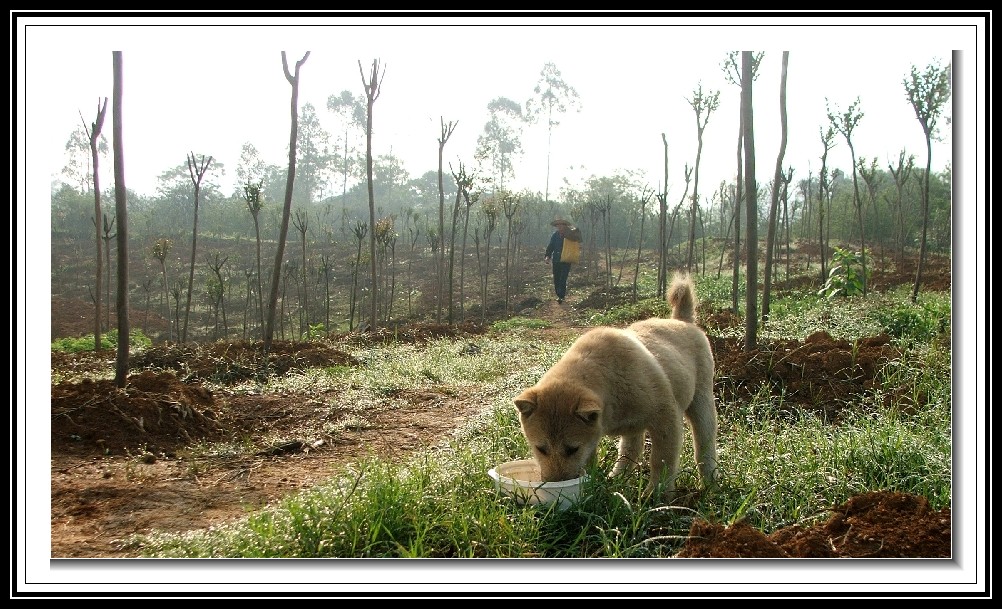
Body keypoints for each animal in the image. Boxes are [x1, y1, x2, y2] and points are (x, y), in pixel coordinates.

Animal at [513, 272, 717, 498]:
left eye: (572, 449)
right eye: (541, 448)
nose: (556, 485)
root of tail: (682, 320)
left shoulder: (666, 418)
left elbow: (661, 460)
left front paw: (656, 494)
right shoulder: (594, 435)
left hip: (701, 401)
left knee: (704, 445)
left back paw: (710, 481)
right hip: (637, 426)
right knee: (631, 450)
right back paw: (616, 477)